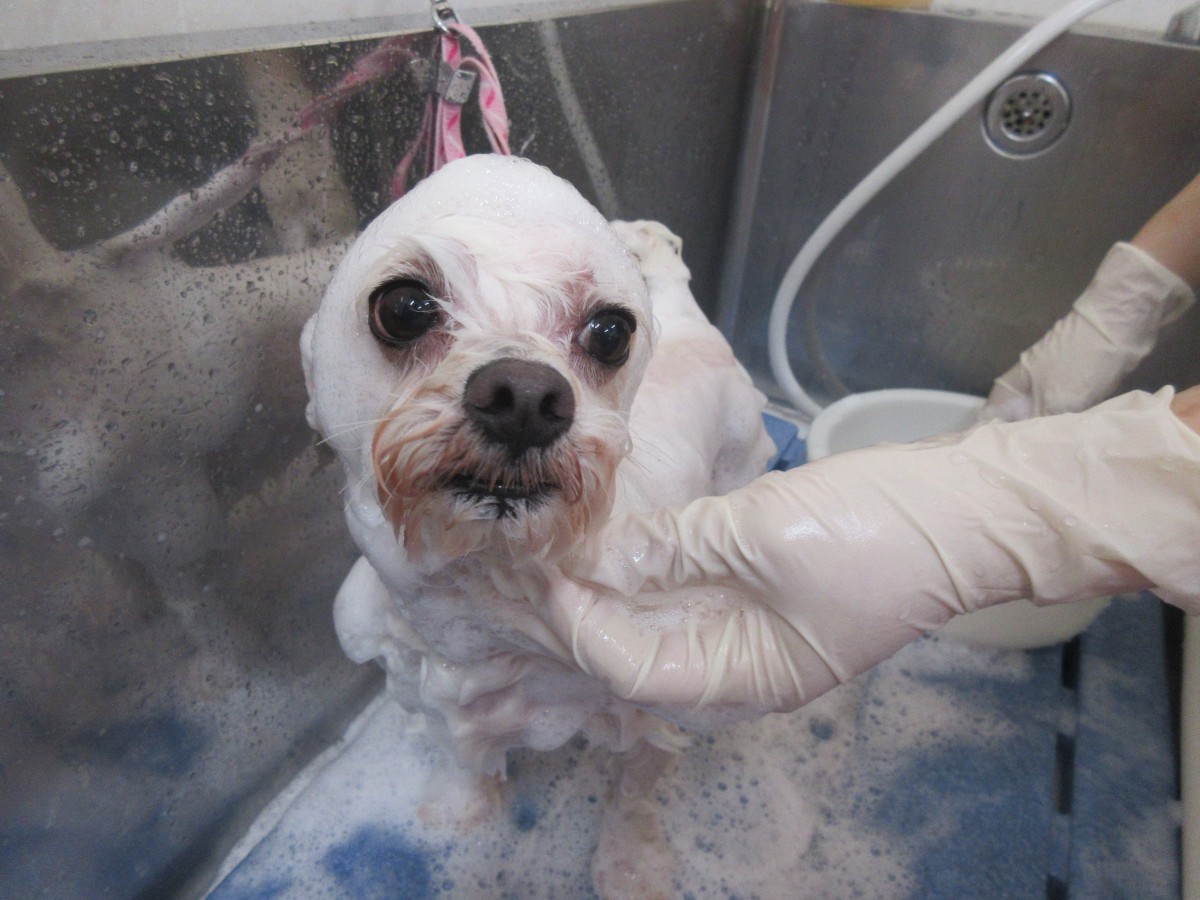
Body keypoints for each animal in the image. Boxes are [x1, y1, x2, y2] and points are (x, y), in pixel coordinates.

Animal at [301, 154, 774, 895]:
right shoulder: (429, 695)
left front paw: (631, 864)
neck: (481, 597)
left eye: (610, 332)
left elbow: (635, 789)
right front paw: (458, 813)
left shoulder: (649, 707)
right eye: (404, 307)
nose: (524, 397)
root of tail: (689, 318)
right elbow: (463, 759)